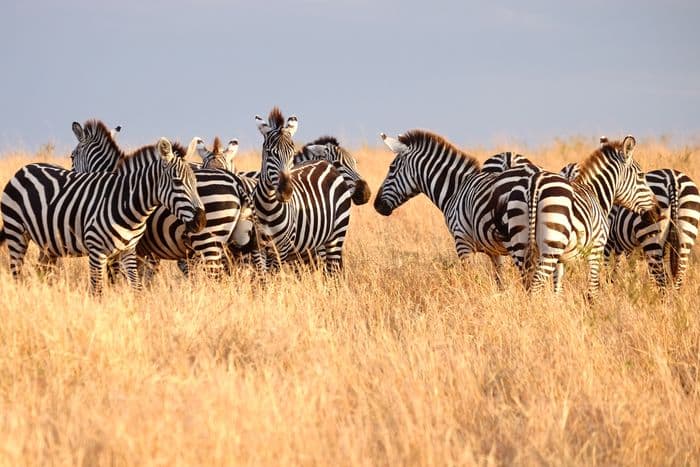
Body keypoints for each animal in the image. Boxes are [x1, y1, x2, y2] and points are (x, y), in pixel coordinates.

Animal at [0, 137, 206, 294]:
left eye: (196, 182)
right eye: (177, 182)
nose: (201, 221)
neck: (127, 203)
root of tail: (24, 168)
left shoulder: (128, 250)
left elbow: (136, 287)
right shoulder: (97, 250)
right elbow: (98, 290)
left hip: (48, 243)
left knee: (42, 272)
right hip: (16, 233)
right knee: (17, 274)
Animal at [251, 108, 353, 273]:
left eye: (291, 153)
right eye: (270, 153)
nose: (286, 192)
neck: (268, 208)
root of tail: (325, 163)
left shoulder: (282, 248)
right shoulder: (257, 248)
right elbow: (262, 277)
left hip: (336, 235)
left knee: (333, 271)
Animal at [501, 136, 660, 298]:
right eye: (641, 176)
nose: (657, 212)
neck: (596, 194)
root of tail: (535, 184)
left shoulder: (561, 259)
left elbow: (558, 288)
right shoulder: (597, 247)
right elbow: (593, 288)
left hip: (521, 243)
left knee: (527, 281)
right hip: (551, 246)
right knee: (536, 283)